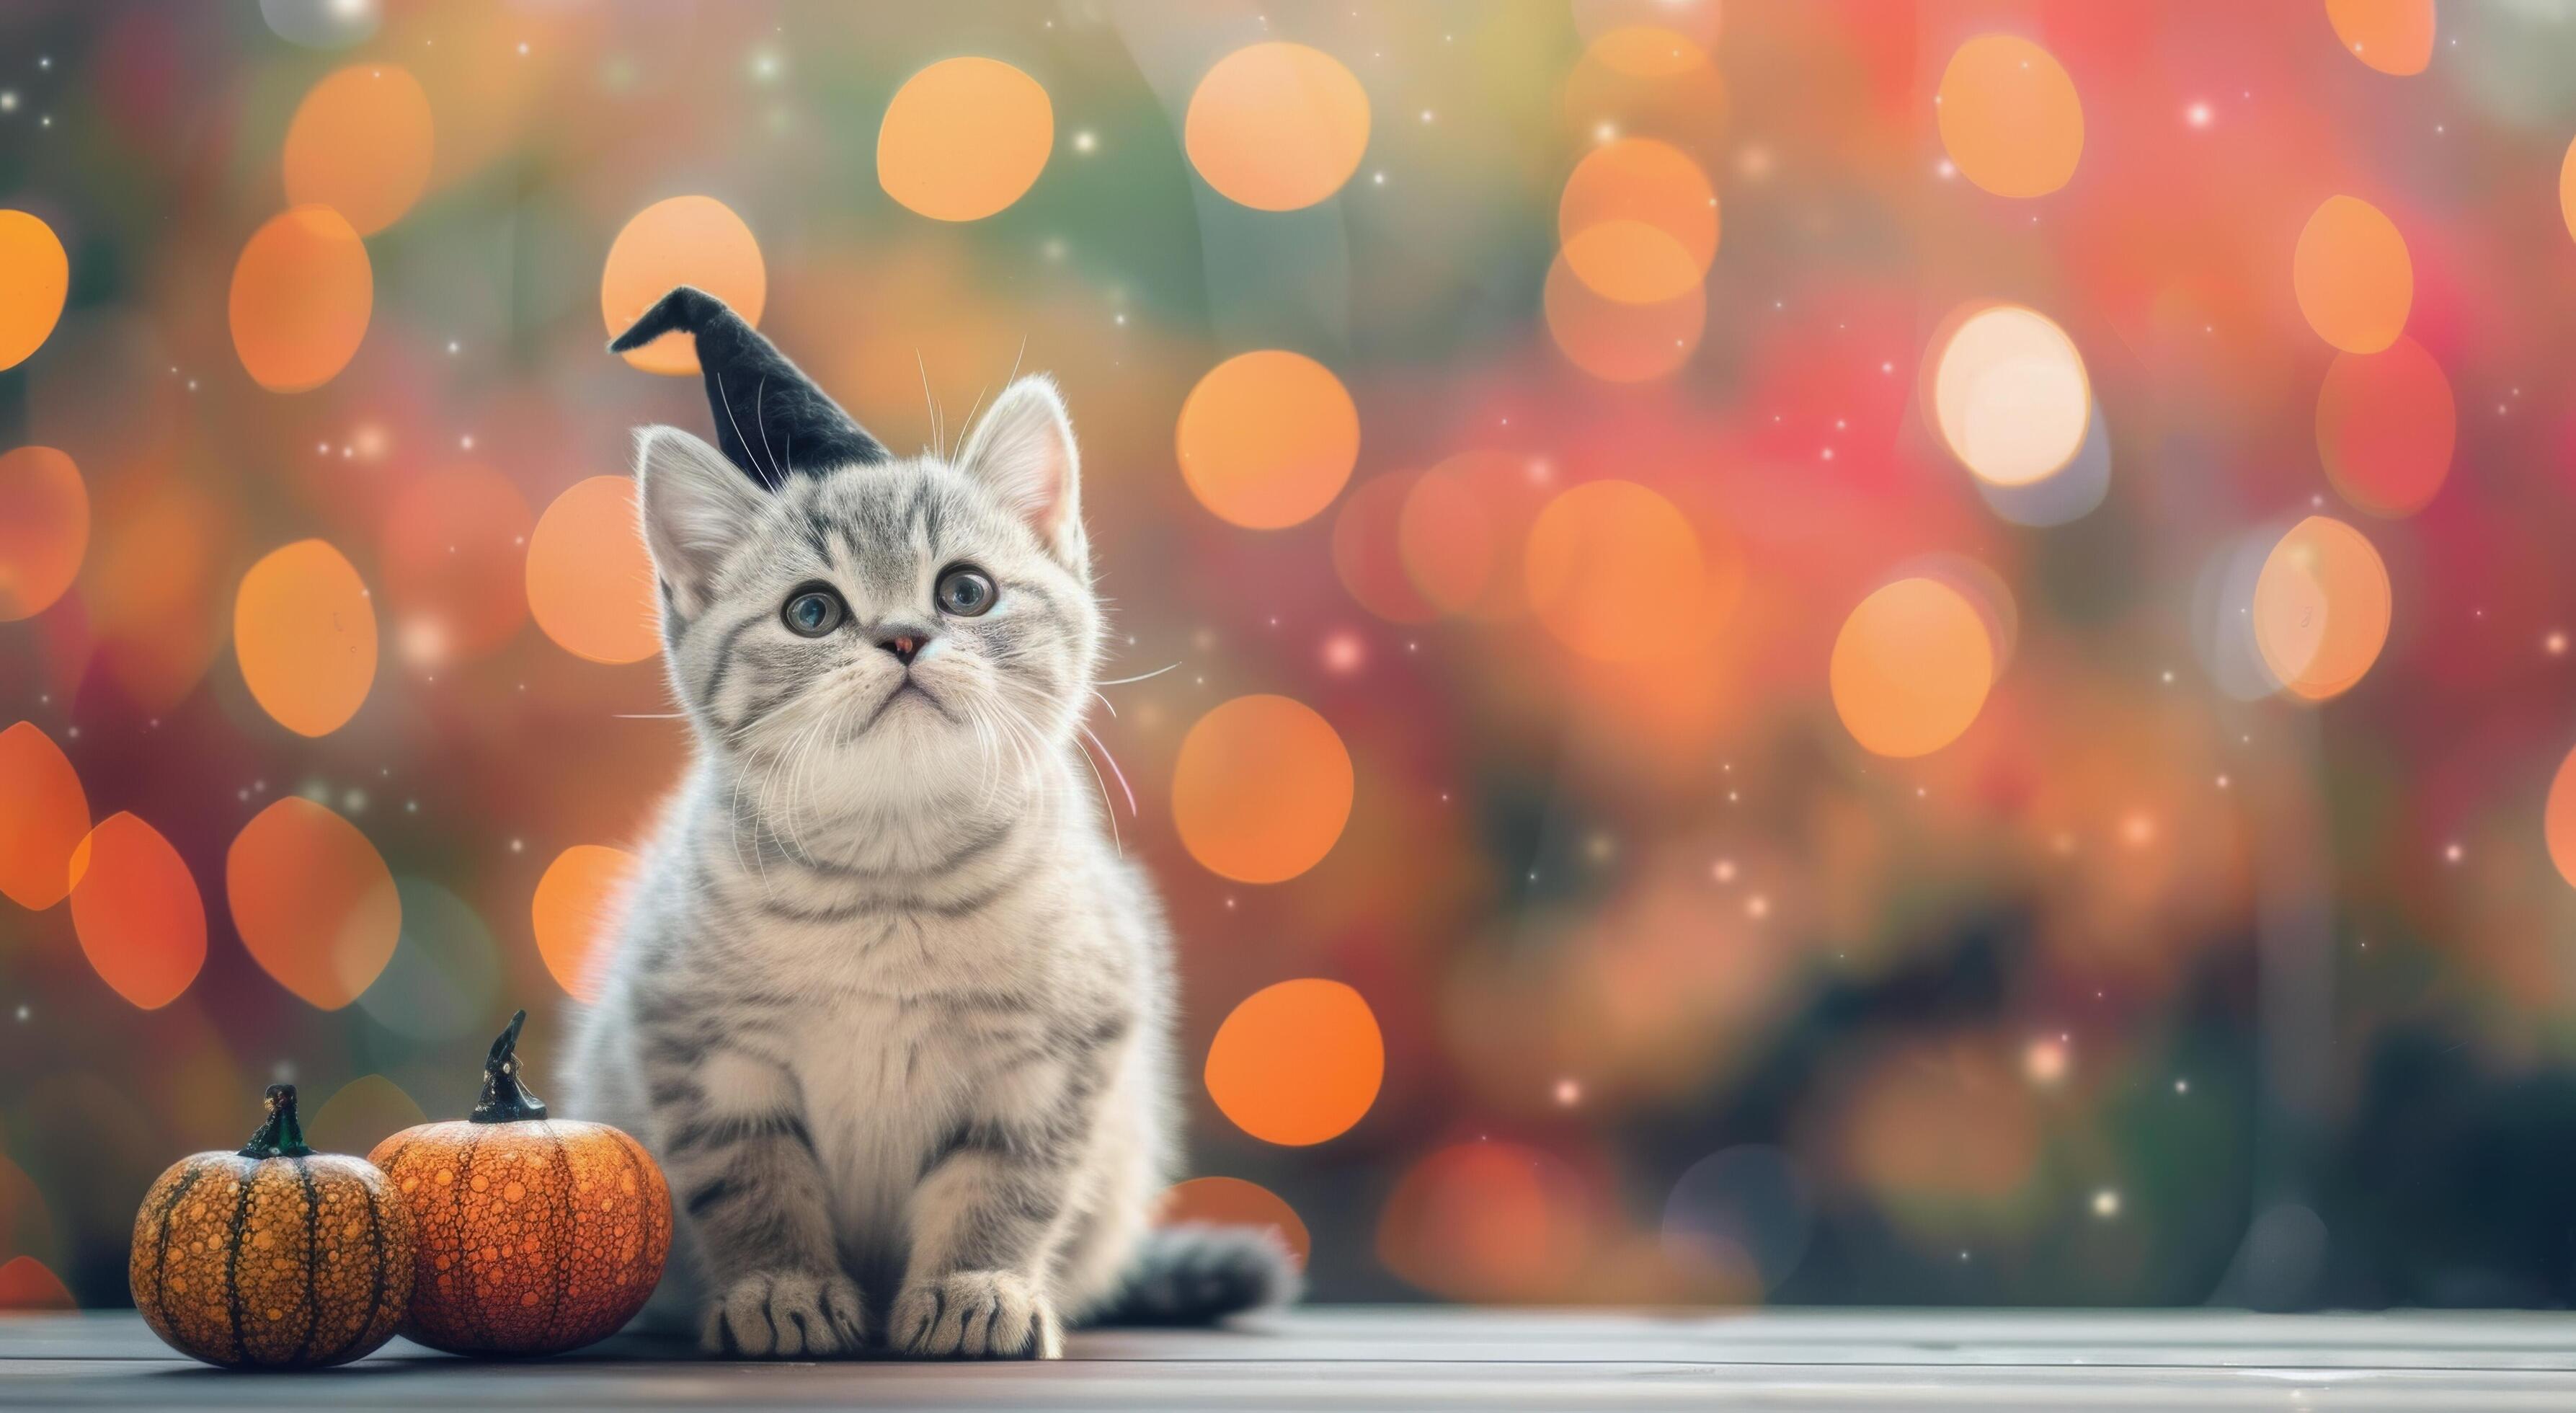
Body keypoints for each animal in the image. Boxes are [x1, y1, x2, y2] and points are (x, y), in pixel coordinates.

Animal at [561, 287, 1288, 1361]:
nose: (905, 637)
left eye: (965, 591)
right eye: (812, 612)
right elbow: (752, 1184)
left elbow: (1005, 1184)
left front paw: (976, 1289)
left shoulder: (1059, 1056)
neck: (889, 877)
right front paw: (780, 1290)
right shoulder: (697, 1043)